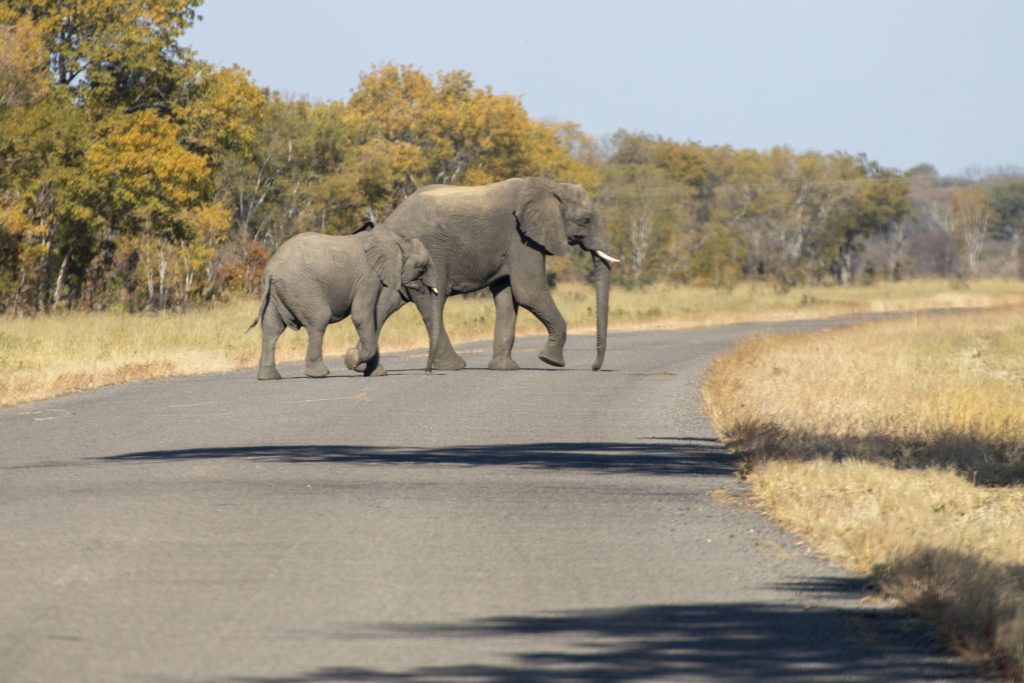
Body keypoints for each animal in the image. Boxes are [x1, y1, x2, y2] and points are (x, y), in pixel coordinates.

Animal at [249, 230, 438, 380]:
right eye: (422, 267)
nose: (428, 372)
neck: (397, 240)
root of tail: (271, 270)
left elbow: (375, 319)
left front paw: (375, 373)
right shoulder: (368, 276)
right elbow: (362, 316)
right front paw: (351, 358)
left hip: (276, 293)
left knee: (272, 329)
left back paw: (269, 377)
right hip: (302, 287)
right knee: (319, 320)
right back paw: (318, 374)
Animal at [371, 177, 618, 373]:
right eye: (585, 220)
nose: (595, 368)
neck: (550, 186)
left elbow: (507, 296)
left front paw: (505, 368)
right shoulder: (520, 239)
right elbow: (528, 292)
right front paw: (551, 361)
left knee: (387, 303)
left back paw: (367, 367)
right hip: (429, 254)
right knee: (433, 303)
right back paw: (453, 366)